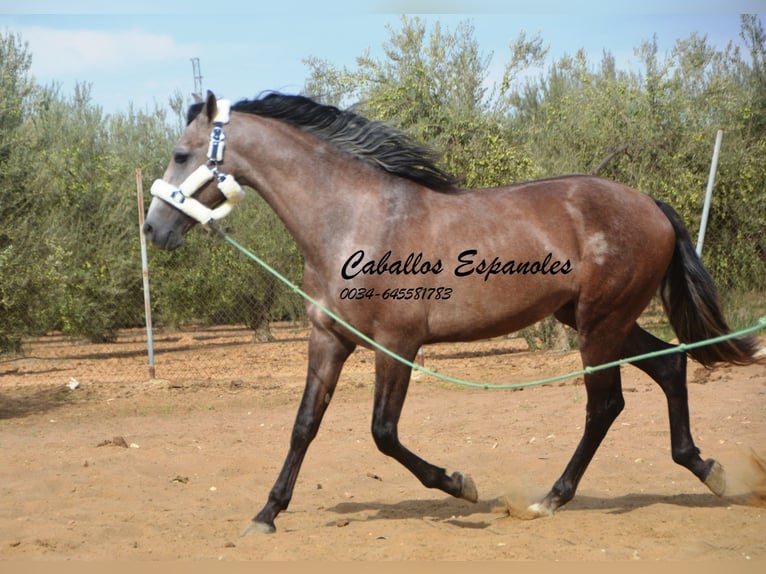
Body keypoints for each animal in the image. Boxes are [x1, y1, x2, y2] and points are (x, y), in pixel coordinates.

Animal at [144, 90, 760, 536]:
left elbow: (383, 433)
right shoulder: (328, 339)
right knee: (670, 366)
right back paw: (707, 470)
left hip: (599, 325)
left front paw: (460, 484)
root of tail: (649, 203)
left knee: (605, 405)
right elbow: (304, 426)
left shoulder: (398, 343)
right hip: (597, 321)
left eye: (180, 154)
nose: (154, 229)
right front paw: (266, 514)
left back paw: (550, 500)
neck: (356, 219)